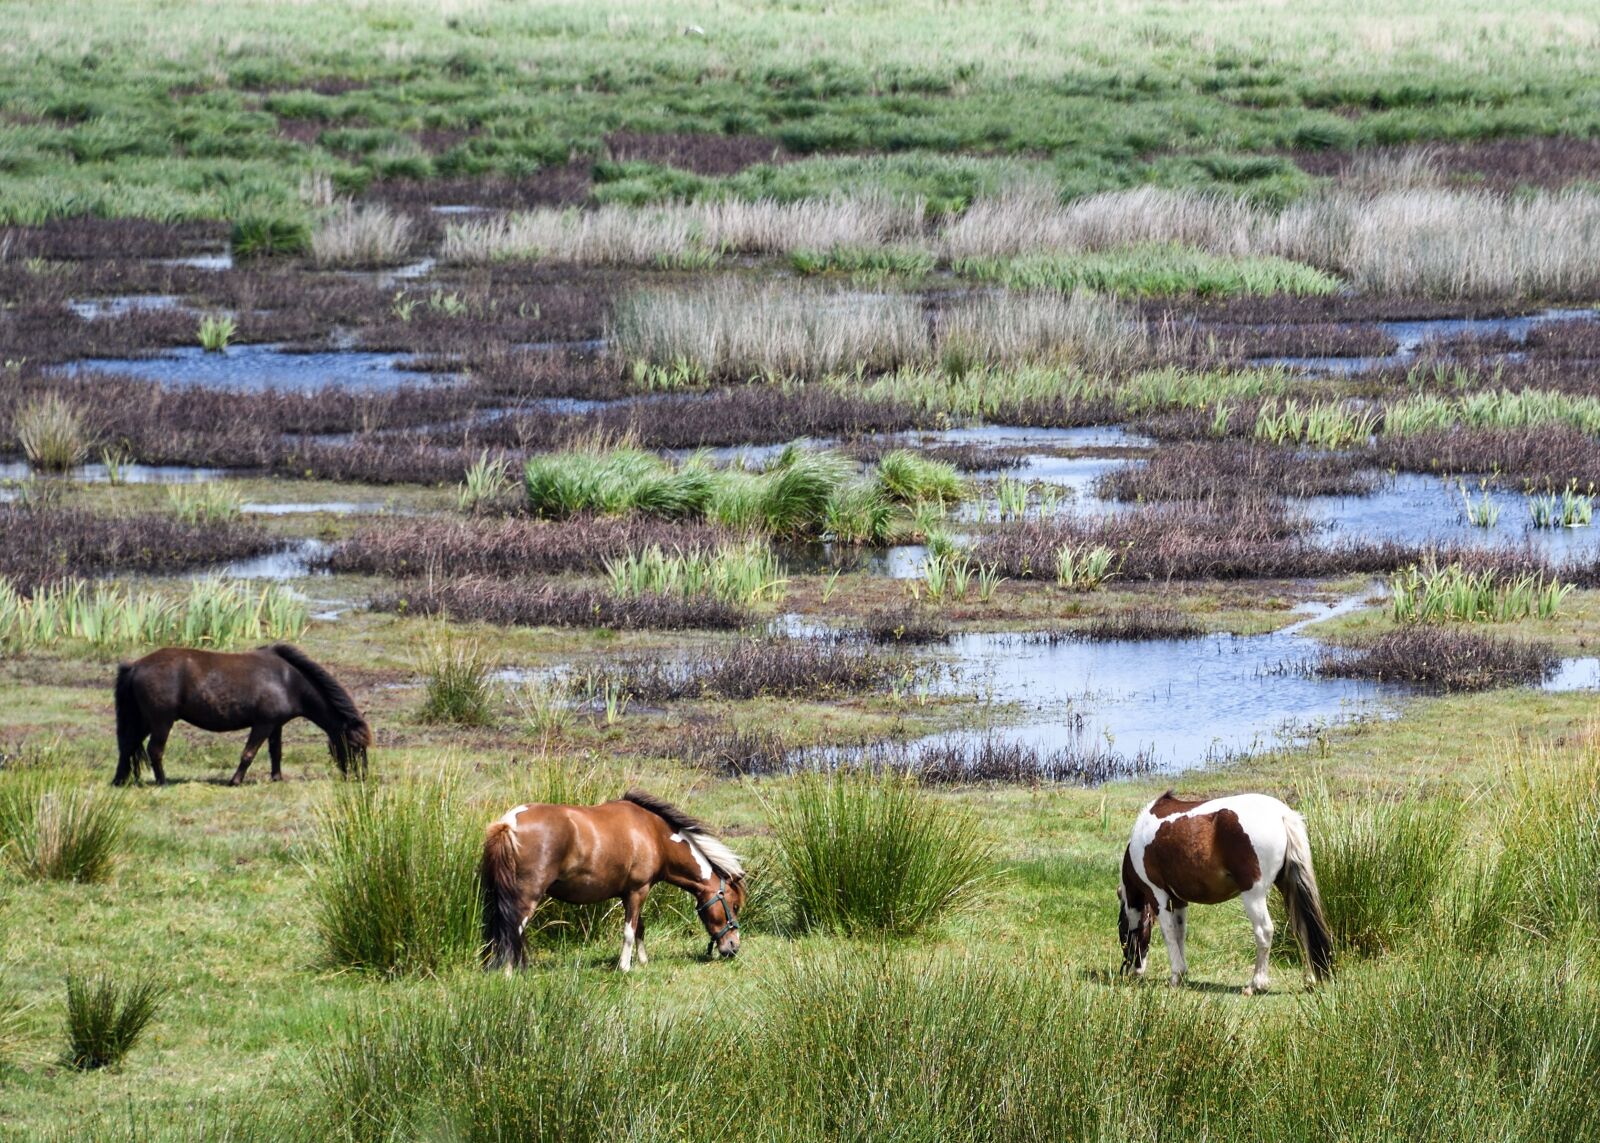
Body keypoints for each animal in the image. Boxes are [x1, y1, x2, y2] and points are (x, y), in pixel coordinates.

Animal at [113, 644, 371, 786]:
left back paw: (118, 781)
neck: (288, 680)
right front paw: (235, 781)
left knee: (127, 746)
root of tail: (135, 666)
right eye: (355, 746)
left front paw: (276, 778)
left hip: (143, 721)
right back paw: (163, 782)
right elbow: (248, 753)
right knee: (154, 750)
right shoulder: (263, 724)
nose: (362, 777)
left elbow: (276, 752)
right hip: (161, 721)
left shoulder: (276, 725)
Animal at [480, 789, 746, 972]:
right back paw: (509, 974)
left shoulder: (630, 894)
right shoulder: (638, 891)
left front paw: (643, 961)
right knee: (511, 932)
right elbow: (629, 931)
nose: (733, 946)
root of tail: (508, 824)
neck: (654, 834)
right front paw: (625, 967)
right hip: (526, 898)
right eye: (733, 905)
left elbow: (639, 928)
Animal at [1118, 791, 1333, 995]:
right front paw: (1182, 973)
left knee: (1264, 932)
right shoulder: (1179, 901)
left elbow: (1168, 933)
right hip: (1287, 886)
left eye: (1122, 931)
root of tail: (1282, 814)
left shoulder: (1158, 895)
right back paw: (1310, 980)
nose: (1130, 971)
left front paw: (1175, 976)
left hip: (1253, 895)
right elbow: (1179, 933)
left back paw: (1256, 984)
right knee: (1302, 928)